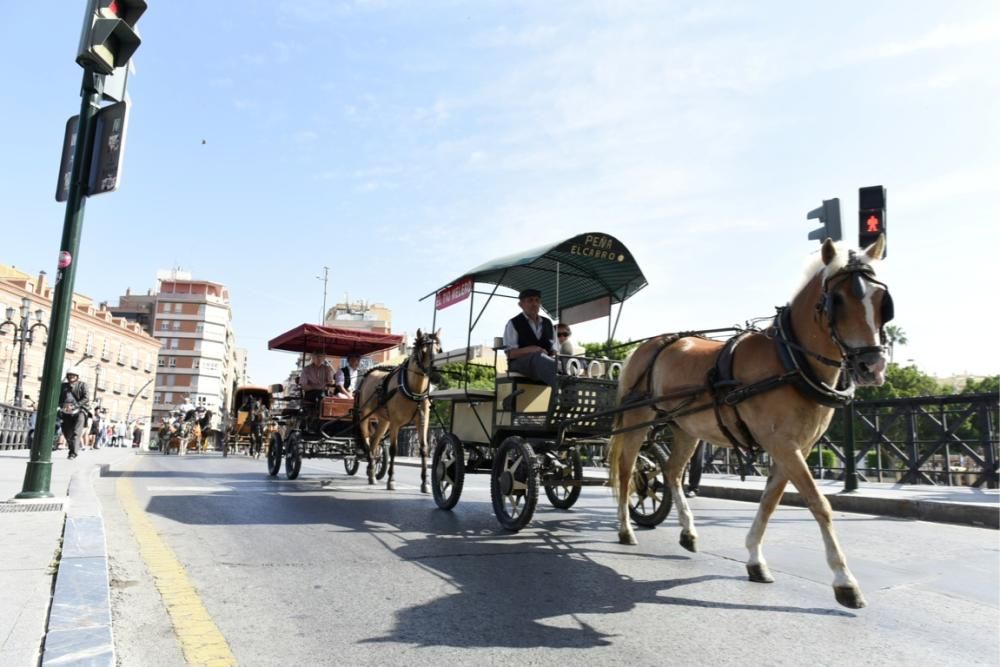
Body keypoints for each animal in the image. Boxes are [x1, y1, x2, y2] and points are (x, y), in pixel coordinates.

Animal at [356, 330, 442, 494]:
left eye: (439, 349)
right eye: (422, 351)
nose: (436, 375)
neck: (413, 389)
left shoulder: (423, 421)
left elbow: (424, 448)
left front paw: (425, 482)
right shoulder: (396, 423)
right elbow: (394, 449)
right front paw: (391, 480)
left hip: (384, 421)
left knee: (374, 441)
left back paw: (372, 473)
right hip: (364, 415)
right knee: (367, 440)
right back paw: (371, 468)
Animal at [604, 236, 896, 612]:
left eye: (881, 300)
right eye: (838, 299)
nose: (871, 367)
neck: (791, 361)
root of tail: (647, 346)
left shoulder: (795, 448)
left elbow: (770, 503)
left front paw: (755, 560)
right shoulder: (783, 445)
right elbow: (819, 504)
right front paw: (844, 581)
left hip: (685, 427)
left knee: (671, 471)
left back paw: (687, 531)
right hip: (637, 420)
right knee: (627, 471)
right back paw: (626, 529)